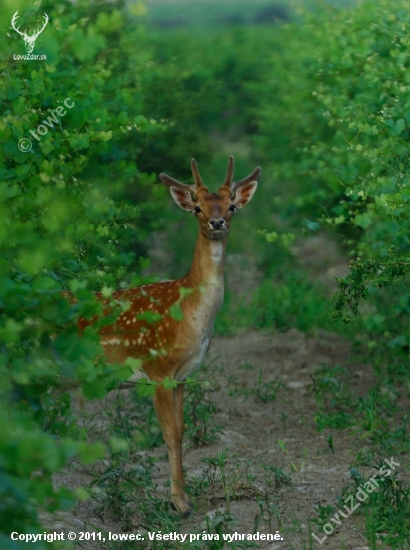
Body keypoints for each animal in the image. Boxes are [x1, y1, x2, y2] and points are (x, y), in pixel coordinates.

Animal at [77, 155, 260, 516]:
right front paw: (178, 503)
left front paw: (186, 498)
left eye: (231, 206)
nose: (217, 222)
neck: (190, 313)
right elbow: (170, 433)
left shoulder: (182, 375)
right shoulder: (158, 368)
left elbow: (182, 430)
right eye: (197, 208)